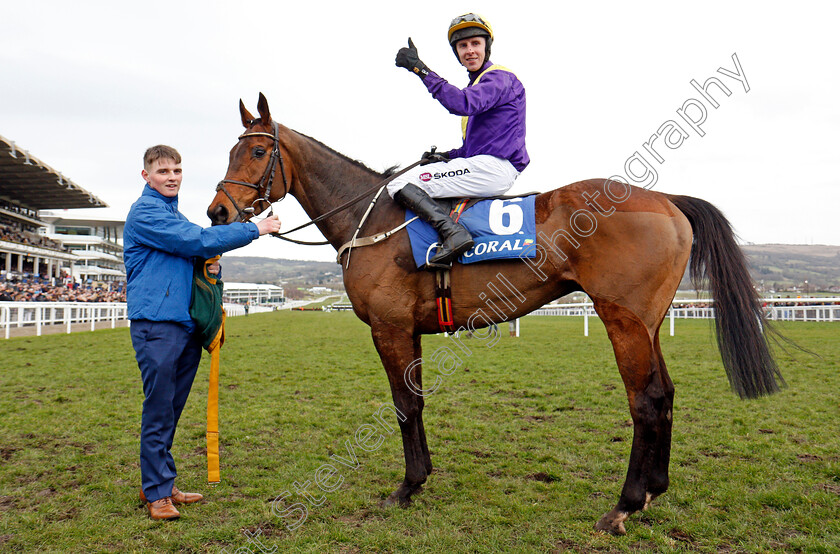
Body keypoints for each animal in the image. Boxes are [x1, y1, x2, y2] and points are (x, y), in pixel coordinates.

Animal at [207, 92, 784, 532]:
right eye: (232, 151)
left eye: (256, 151)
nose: (217, 212)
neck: (372, 219)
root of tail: (664, 198)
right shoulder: (408, 330)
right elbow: (415, 402)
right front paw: (421, 477)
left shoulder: (390, 328)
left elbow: (403, 405)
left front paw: (406, 487)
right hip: (649, 322)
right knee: (664, 393)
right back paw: (652, 492)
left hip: (622, 319)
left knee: (644, 400)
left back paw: (621, 505)